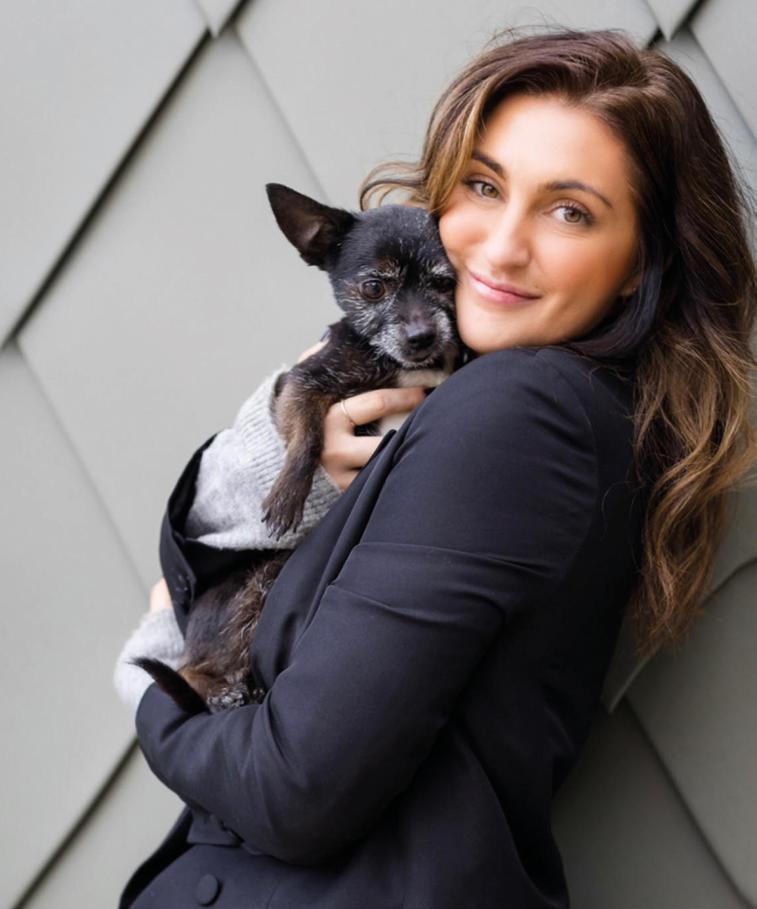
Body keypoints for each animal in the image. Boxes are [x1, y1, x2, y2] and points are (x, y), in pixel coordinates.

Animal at [133, 183, 467, 713]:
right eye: (374, 288)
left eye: (445, 281)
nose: (421, 336)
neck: (405, 365)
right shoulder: (300, 383)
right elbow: (308, 435)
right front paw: (288, 493)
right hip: (255, 582)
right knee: (186, 672)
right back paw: (222, 691)